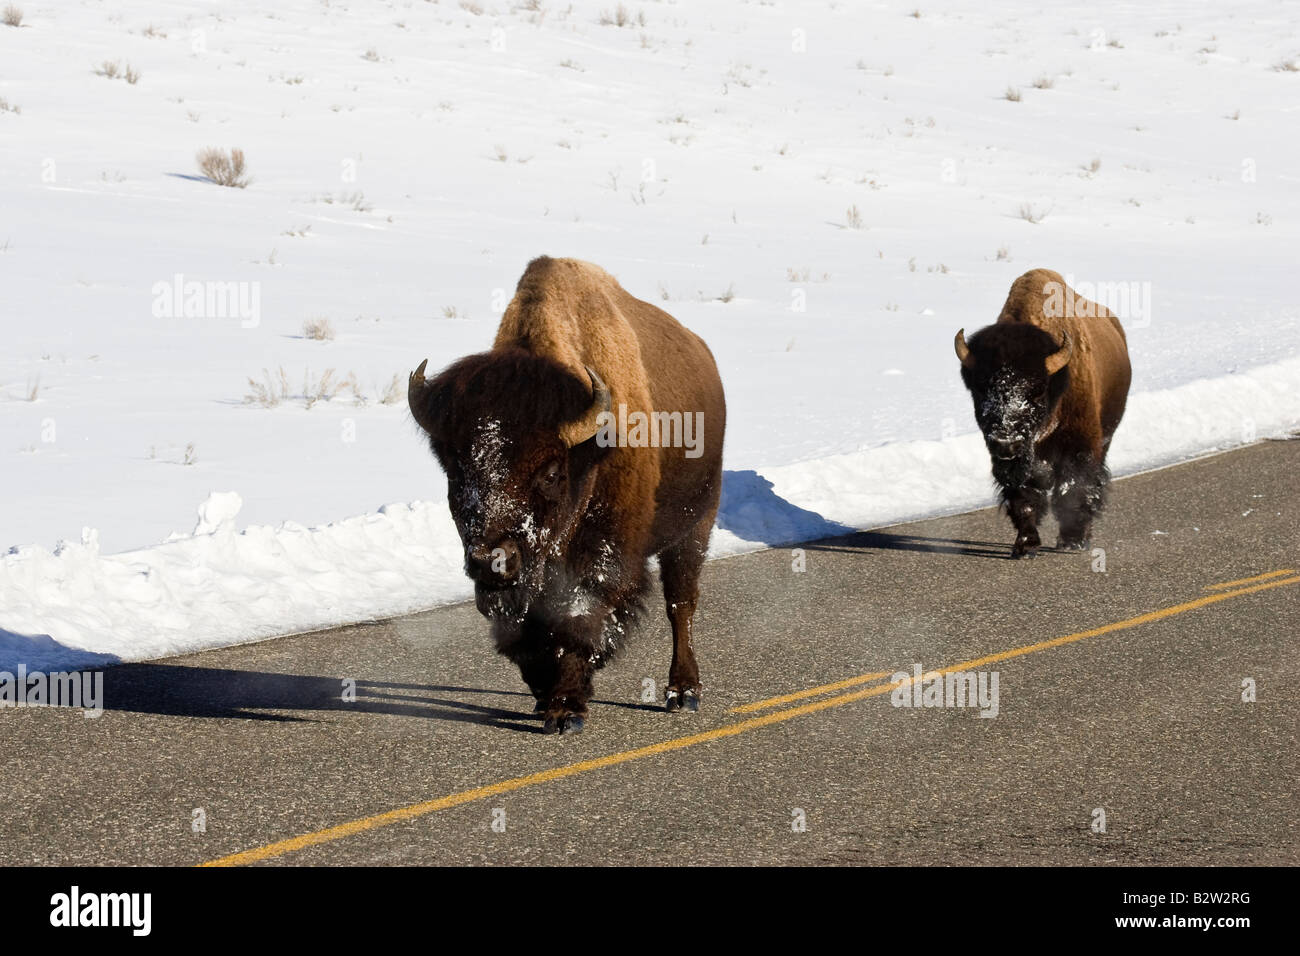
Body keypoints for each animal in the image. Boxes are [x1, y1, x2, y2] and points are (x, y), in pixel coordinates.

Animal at [410, 254, 728, 733]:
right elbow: (523, 631)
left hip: (695, 525)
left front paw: (565, 710)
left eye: (551, 472)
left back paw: (683, 691)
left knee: (681, 603)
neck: (589, 451)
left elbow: (578, 617)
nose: (490, 561)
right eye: (455, 469)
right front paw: (545, 697)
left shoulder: (601, 557)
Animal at [951, 269, 1133, 561]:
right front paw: (1025, 545)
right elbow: (1023, 496)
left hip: (1106, 436)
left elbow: (1072, 490)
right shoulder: (1013, 461)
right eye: (980, 387)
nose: (1005, 442)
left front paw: (1072, 541)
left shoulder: (1079, 447)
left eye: (1036, 390)